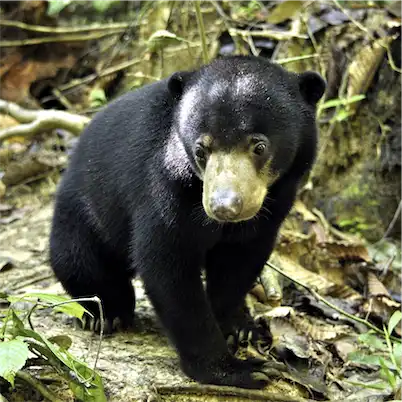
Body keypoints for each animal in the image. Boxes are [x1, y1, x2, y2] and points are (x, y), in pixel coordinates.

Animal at [49, 55, 326, 388]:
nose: (224, 206)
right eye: (201, 149)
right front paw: (239, 369)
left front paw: (236, 327)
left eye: (259, 146)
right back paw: (108, 312)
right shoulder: (164, 187)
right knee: (78, 260)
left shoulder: (275, 202)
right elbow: (168, 268)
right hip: (82, 213)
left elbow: (240, 261)